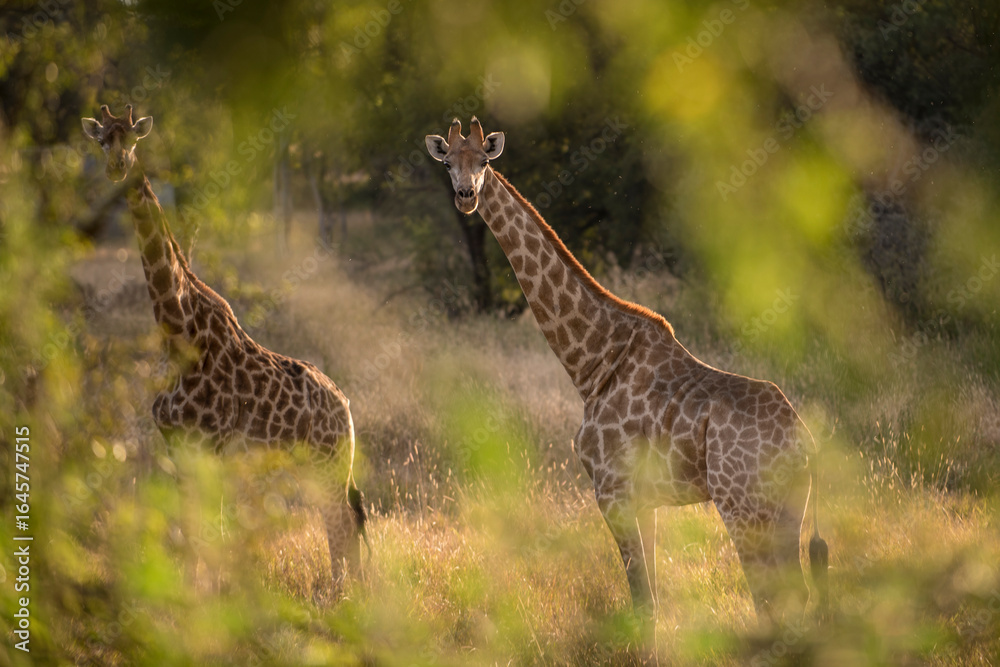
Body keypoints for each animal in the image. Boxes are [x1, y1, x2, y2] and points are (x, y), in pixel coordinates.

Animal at [81, 104, 367, 585]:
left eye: (133, 140)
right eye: (102, 140)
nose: (118, 167)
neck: (179, 333)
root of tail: (345, 406)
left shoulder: (210, 448)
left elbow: (207, 534)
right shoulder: (176, 446)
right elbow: (185, 532)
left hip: (329, 461)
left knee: (342, 524)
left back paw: (342, 594)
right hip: (315, 465)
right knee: (345, 524)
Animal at [426, 118, 829, 640]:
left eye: (483, 161)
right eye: (448, 164)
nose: (466, 196)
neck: (591, 363)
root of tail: (806, 442)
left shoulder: (611, 490)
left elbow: (642, 604)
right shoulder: (644, 501)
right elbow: (653, 602)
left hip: (741, 505)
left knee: (773, 598)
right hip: (785, 510)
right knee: (791, 596)